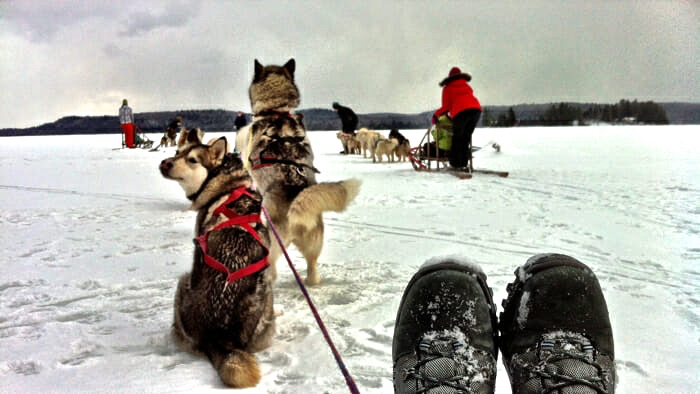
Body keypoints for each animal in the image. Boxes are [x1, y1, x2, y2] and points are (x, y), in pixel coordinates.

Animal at [160, 138, 274, 388]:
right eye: (178, 151)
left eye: (192, 159)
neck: (229, 183)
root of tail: (220, 336)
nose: (164, 163)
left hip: (182, 282)